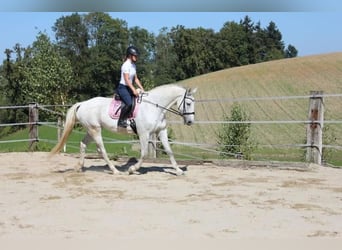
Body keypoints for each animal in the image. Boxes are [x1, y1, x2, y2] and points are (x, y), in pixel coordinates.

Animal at [49, 84, 196, 176]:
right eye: (188, 103)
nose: (190, 122)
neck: (155, 107)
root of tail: (82, 104)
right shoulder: (144, 134)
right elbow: (143, 154)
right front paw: (132, 169)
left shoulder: (161, 131)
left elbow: (169, 151)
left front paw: (178, 171)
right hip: (95, 130)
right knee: (101, 150)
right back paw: (115, 171)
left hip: (91, 129)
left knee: (83, 144)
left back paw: (79, 167)